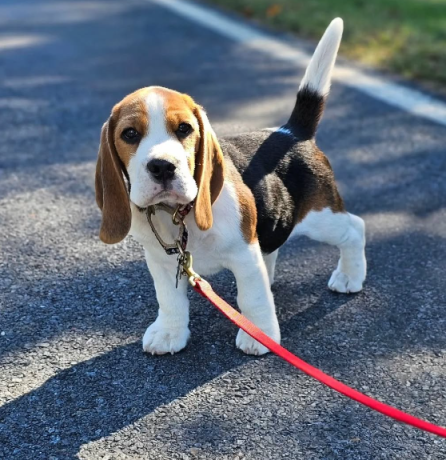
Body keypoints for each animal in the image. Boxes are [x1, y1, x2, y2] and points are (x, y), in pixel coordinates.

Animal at [94, 18, 366, 356]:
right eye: (129, 134)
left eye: (184, 128)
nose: (162, 167)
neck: (178, 215)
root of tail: (291, 132)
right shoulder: (161, 261)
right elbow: (169, 300)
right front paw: (170, 333)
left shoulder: (244, 254)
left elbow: (252, 297)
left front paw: (258, 334)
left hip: (320, 217)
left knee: (355, 228)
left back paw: (350, 276)